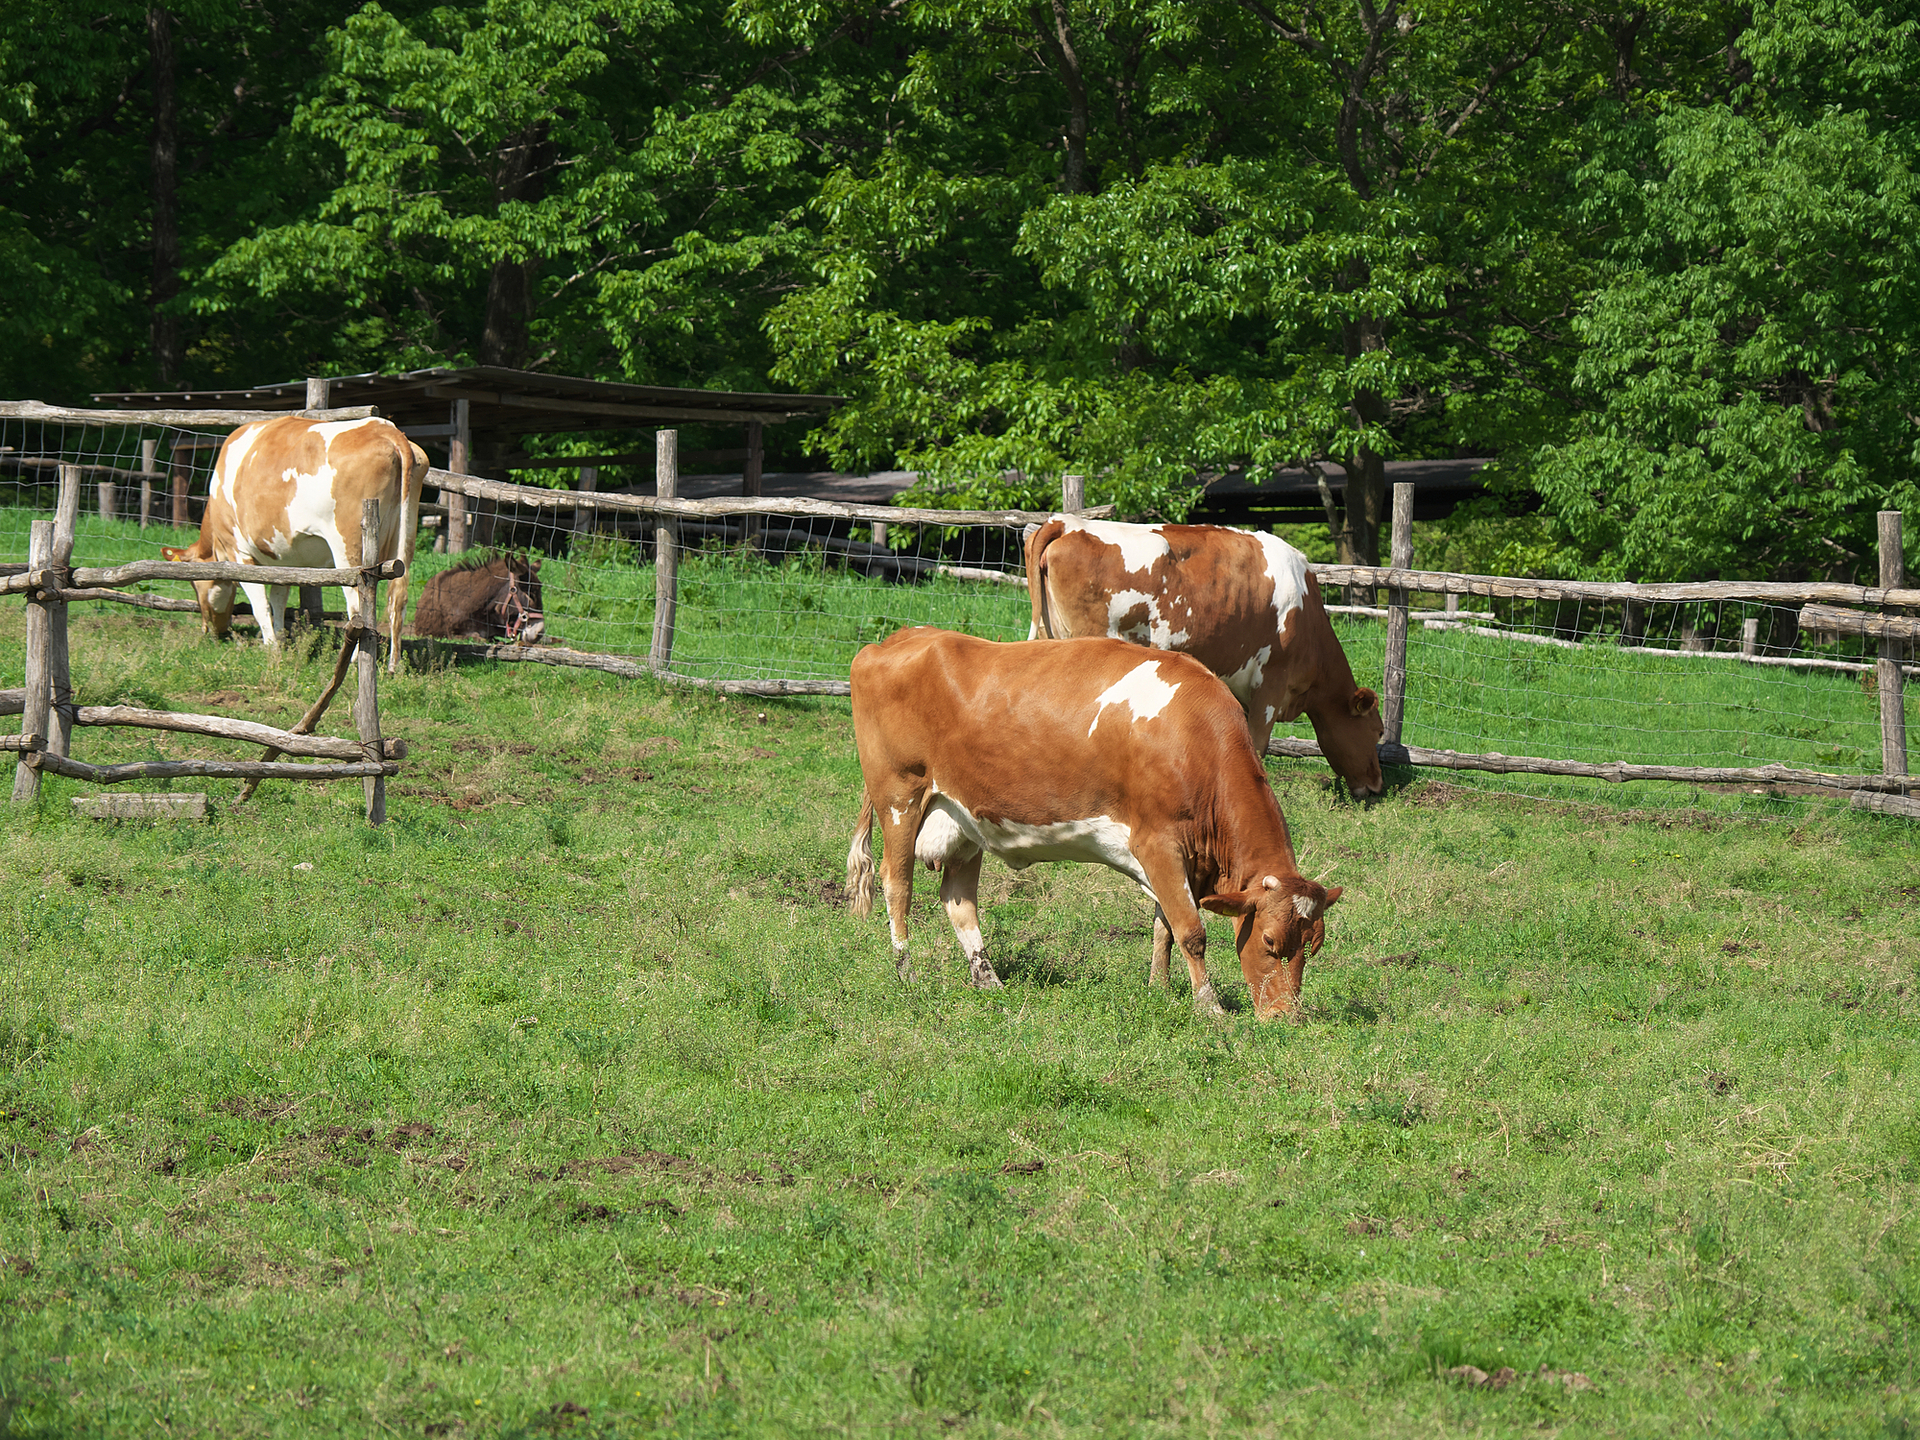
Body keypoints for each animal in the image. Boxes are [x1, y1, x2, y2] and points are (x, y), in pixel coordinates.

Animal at [161, 414, 424, 664]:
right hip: (404, 542)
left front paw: (271, 649)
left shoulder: (238, 552)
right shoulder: (282, 561)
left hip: (350, 550)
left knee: (358, 604)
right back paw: (394, 665)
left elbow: (260, 605)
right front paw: (280, 642)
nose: (209, 630)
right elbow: (278, 602)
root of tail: (385, 429)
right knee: (398, 598)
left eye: (196, 584)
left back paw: (354, 660)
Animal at [848, 633, 1344, 1029]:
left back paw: (989, 981)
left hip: (964, 820)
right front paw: (1211, 1008)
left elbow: (1164, 927)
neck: (1194, 741)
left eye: (1314, 945)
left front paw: (1159, 989)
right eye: (1269, 940)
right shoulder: (1157, 844)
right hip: (900, 799)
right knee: (898, 886)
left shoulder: (1174, 859)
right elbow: (1190, 930)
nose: (1285, 1017)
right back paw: (908, 973)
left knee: (959, 900)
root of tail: (895, 640)